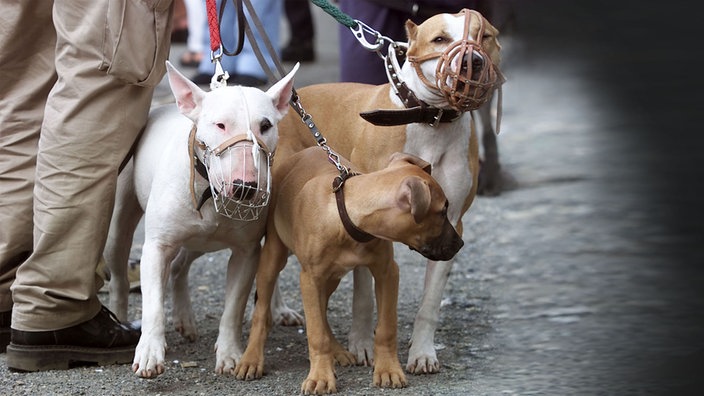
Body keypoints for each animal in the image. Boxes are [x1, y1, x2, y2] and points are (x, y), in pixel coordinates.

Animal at [236, 146, 464, 392]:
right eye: (443, 211)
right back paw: (251, 359)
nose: (460, 244)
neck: (348, 217)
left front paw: (388, 370)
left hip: (332, 278)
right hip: (274, 258)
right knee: (263, 311)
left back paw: (337, 352)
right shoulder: (310, 279)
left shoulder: (387, 273)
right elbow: (316, 333)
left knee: (322, 311)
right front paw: (320, 376)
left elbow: (386, 328)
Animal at [266, 9, 504, 374]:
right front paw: (362, 344)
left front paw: (422, 352)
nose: (473, 62)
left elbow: (430, 302)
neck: (431, 122)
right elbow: (364, 294)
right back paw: (276, 309)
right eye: (440, 39)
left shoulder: (450, 223)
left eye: (485, 36)